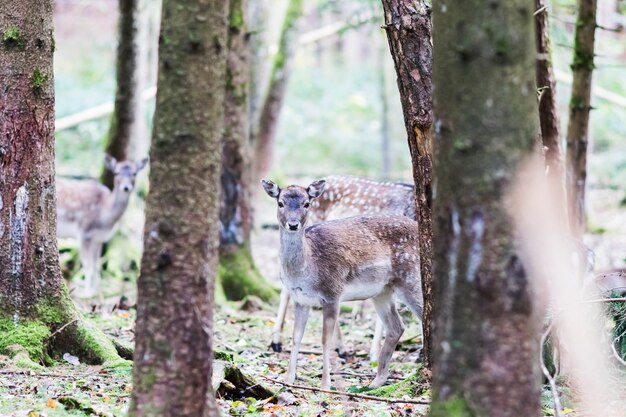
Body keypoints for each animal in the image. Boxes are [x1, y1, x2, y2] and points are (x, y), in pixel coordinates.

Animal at [56, 154, 149, 298]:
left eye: (134, 173)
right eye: (116, 172)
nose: (126, 187)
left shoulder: (98, 239)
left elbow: (96, 266)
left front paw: (96, 293)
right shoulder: (84, 232)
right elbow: (88, 266)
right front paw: (87, 294)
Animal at [260, 180, 422, 390]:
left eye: (306, 203)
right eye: (280, 203)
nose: (293, 224)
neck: (307, 268)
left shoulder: (332, 293)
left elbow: (325, 341)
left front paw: (325, 385)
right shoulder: (300, 299)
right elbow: (296, 338)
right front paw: (288, 380)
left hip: (411, 279)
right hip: (382, 291)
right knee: (396, 327)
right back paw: (375, 381)